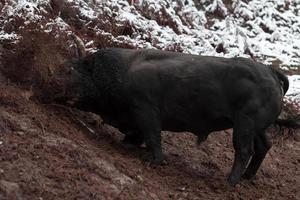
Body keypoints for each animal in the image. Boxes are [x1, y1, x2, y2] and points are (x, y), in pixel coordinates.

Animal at [66, 47, 288, 185]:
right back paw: (246, 177)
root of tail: (271, 72)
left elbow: (153, 136)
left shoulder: (146, 109)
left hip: (245, 125)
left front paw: (154, 161)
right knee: (264, 146)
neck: (124, 71)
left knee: (244, 151)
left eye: (81, 70)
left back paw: (230, 181)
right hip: (257, 128)